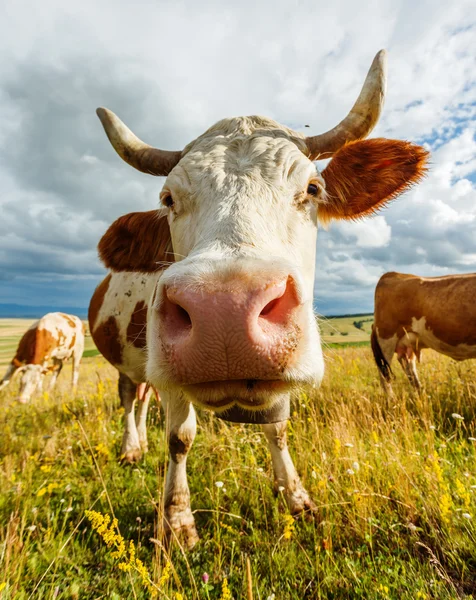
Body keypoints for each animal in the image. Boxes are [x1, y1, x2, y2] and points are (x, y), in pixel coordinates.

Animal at [89, 50, 428, 548]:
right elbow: (180, 437)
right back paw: (133, 448)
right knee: (131, 396)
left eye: (312, 189)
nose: (224, 314)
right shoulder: (172, 379)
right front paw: (177, 522)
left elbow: (279, 429)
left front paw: (297, 498)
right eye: (168, 198)